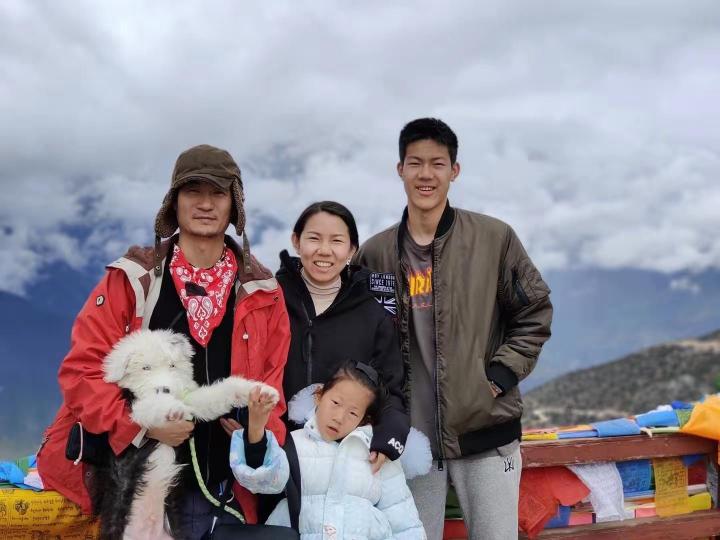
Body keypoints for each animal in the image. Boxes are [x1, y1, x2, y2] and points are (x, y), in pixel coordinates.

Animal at [92, 328, 279, 540]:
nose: (164, 389)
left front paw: (260, 392)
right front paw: (173, 409)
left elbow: (217, 394)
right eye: (145, 368)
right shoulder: (137, 410)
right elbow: (152, 405)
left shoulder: (192, 400)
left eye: (172, 365)